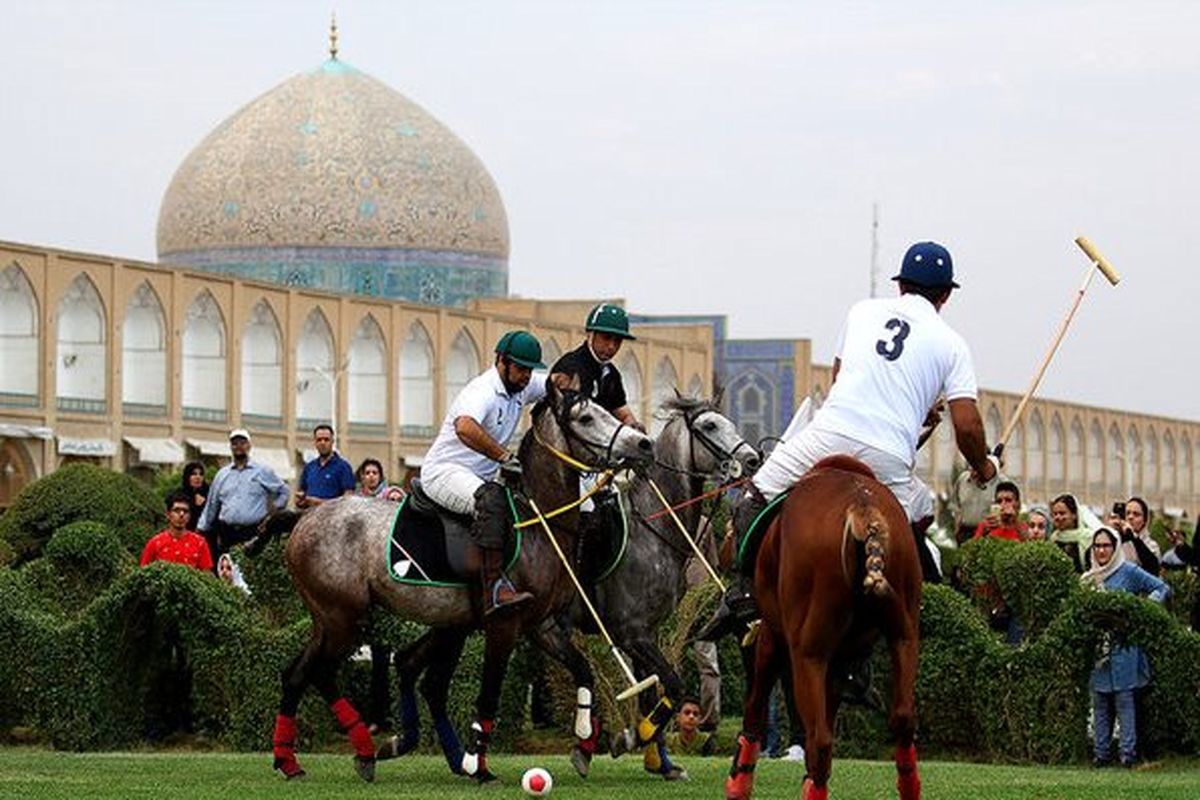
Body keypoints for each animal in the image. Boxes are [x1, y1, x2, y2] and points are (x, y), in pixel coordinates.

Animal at [266, 383, 652, 786]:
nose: (643, 444)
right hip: (344, 617)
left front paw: (582, 742)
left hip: (334, 619)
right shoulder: (503, 623)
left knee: (299, 674)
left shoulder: (539, 624)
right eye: (586, 417)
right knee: (321, 671)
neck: (538, 520)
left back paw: (292, 760)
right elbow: (489, 695)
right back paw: (363, 751)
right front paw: (480, 766)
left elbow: (582, 669)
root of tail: (302, 519)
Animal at [724, 455, 921, 800]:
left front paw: (738, 782)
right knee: (902, 718)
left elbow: (756, 703)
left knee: (819, 738)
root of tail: (863, 509)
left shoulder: (773, 634)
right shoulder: (842, 657)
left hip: (808, 651)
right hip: (904, 634)